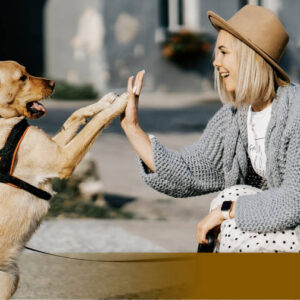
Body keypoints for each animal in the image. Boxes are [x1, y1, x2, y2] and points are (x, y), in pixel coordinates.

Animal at [0, 61, 127, 298]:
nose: (53, 83)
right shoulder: (62, 159)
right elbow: (95, 124)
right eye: (22, 78)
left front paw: (105, 101)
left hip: (13, 275)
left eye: (26, 71)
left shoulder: (56, 147)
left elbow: (76, 115)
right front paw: (121, 103)